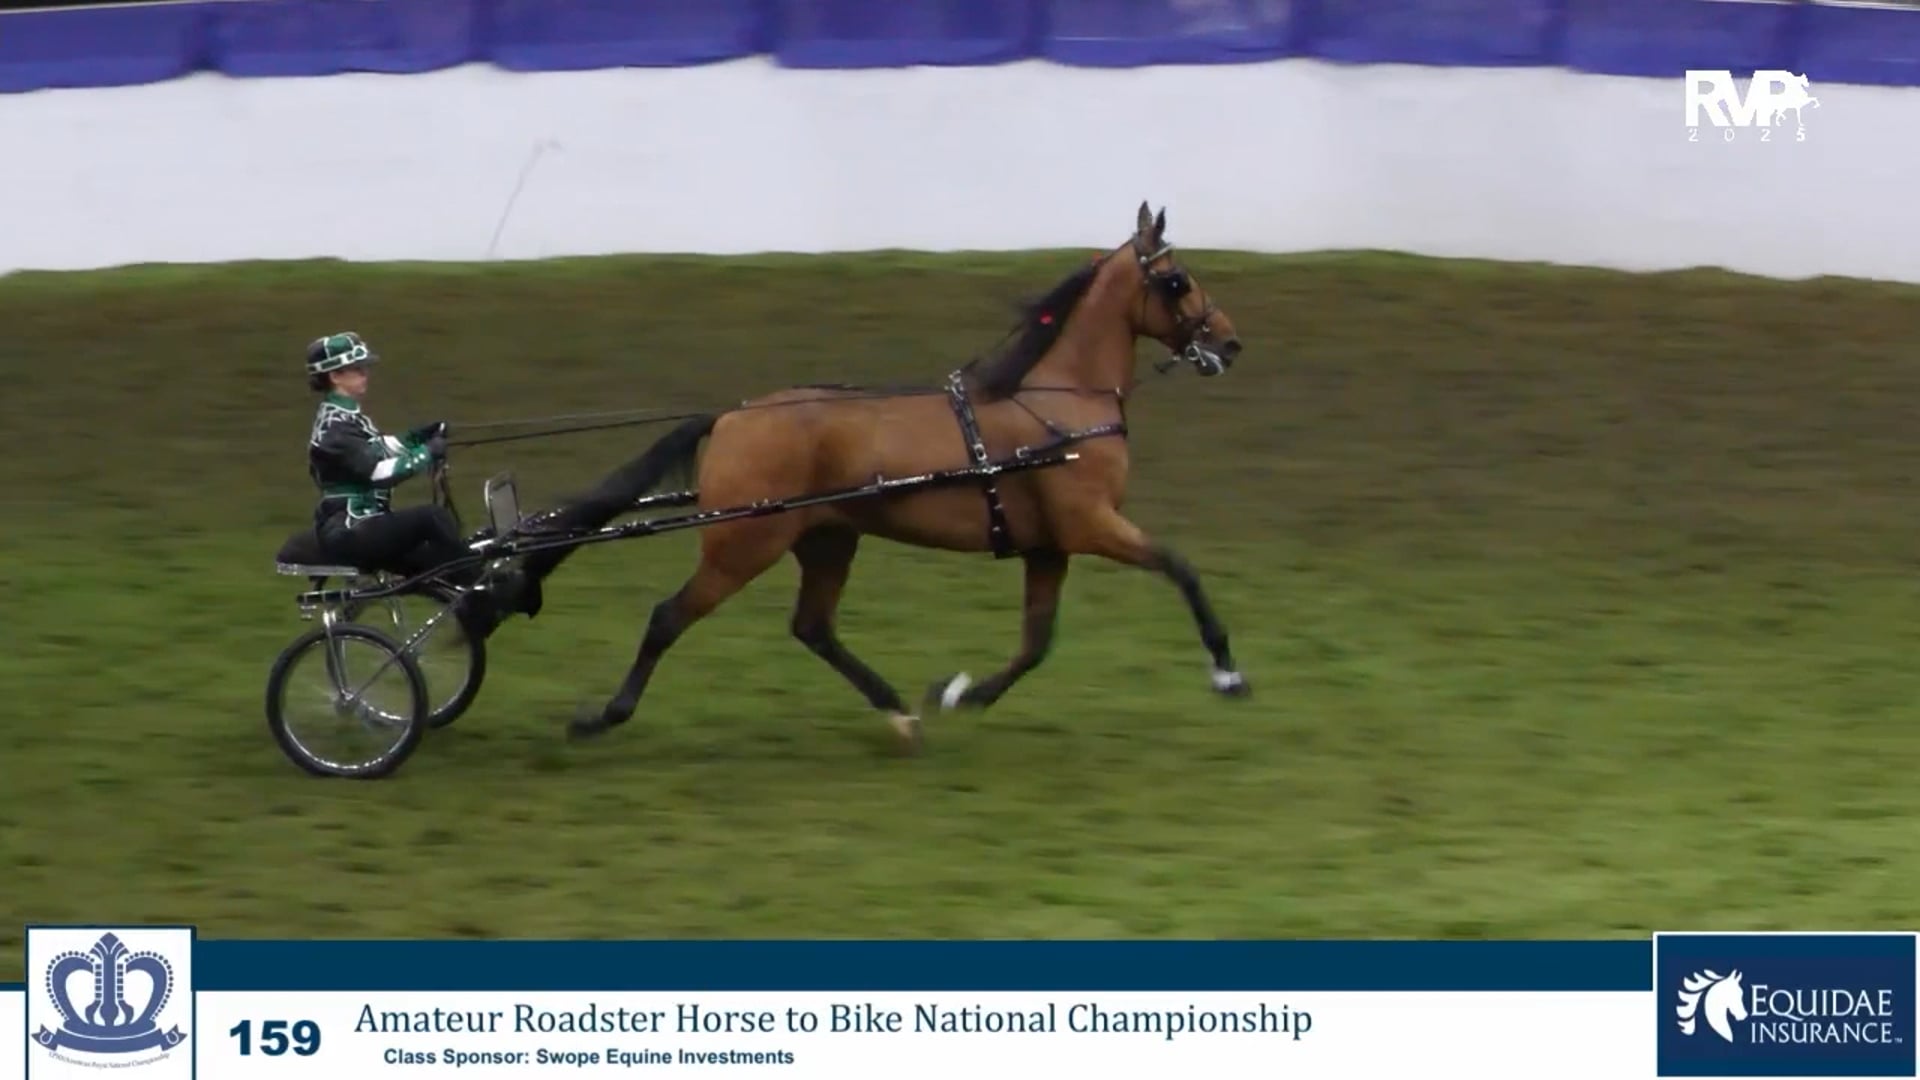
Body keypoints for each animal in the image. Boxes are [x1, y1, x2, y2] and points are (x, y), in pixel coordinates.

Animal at [519, 201, 1250, 750]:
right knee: (670, 617)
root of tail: (732, 416)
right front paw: (1228, 673)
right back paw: (604, 716)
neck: (1055, 404)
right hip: (744, 545)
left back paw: (899, 711)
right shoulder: (1091, 524)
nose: (1230, 341)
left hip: (828, 538)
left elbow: (1036, 642)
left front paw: (960, 693)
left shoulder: (1048, 545)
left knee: (812, 627)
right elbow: (1181, 569)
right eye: (1178, 279)